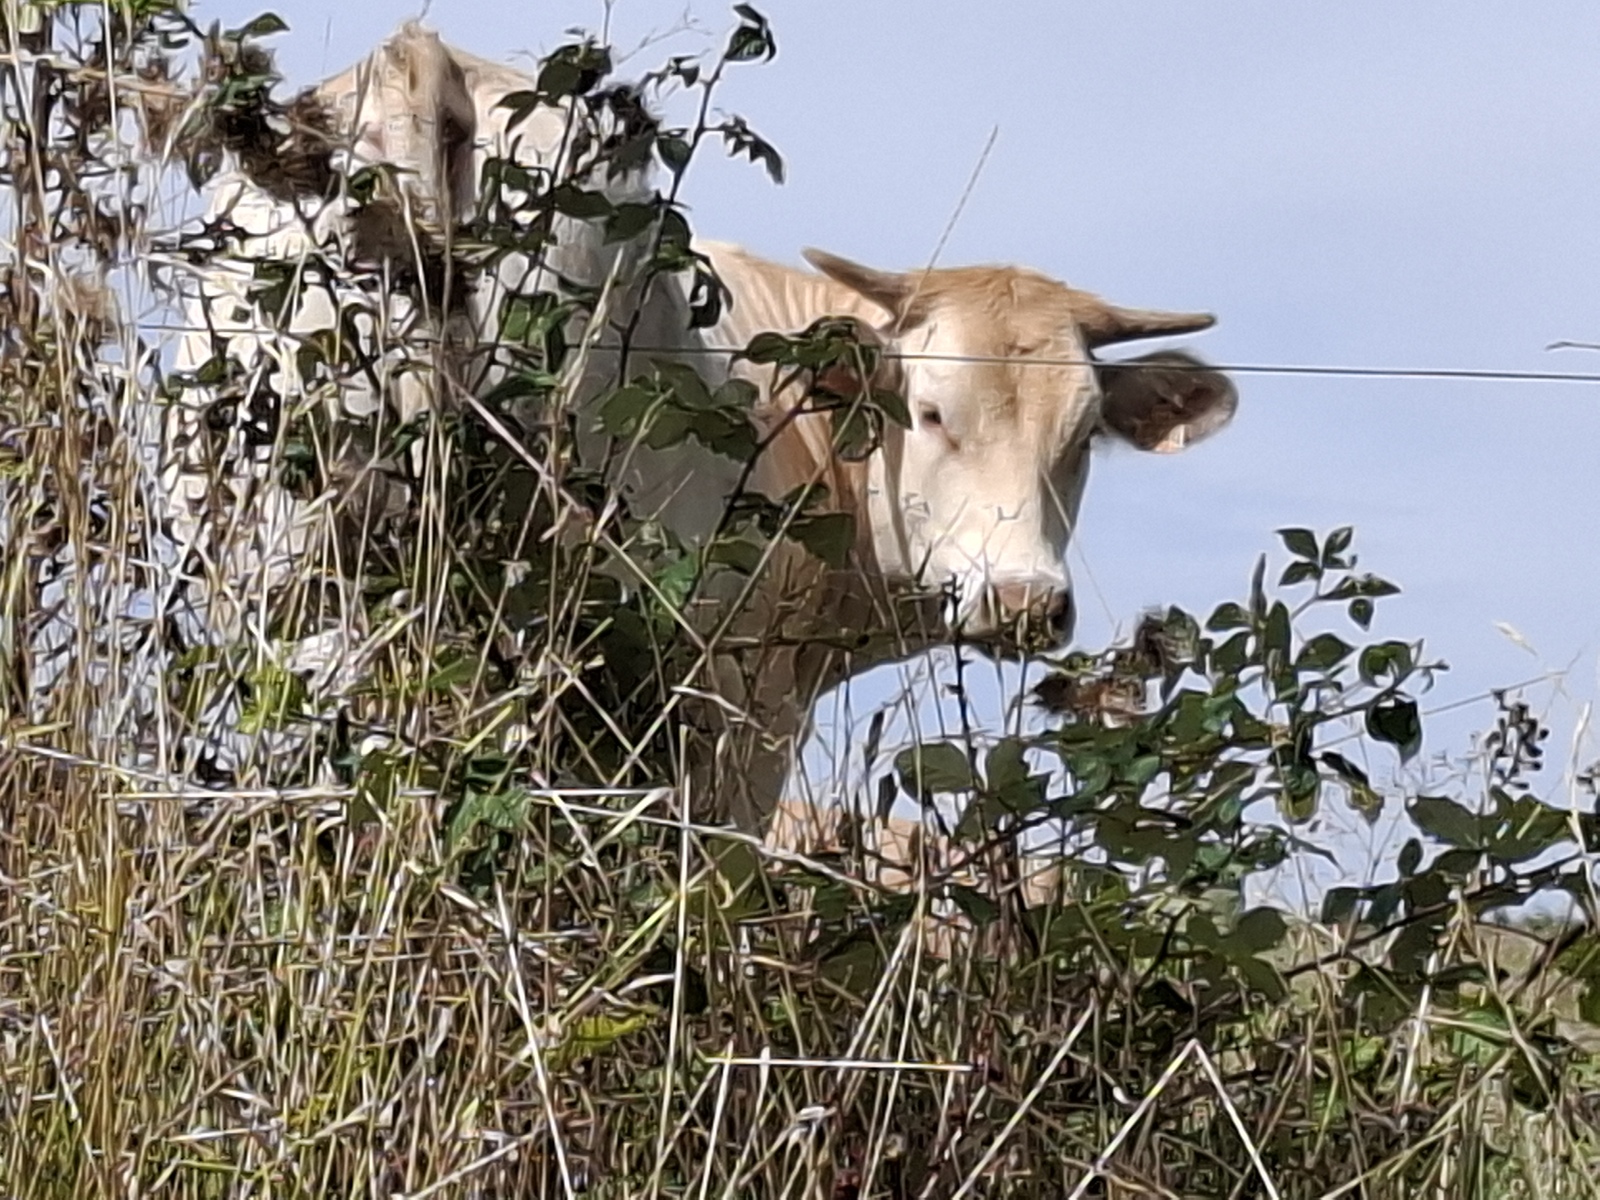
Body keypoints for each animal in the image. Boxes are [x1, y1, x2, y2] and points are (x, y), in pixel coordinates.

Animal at [165, 24, 1238, 882]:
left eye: (1083, 434)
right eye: (932, 412)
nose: (1023, 602)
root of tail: (423, 55)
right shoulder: (746, 699)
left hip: (290, 571)